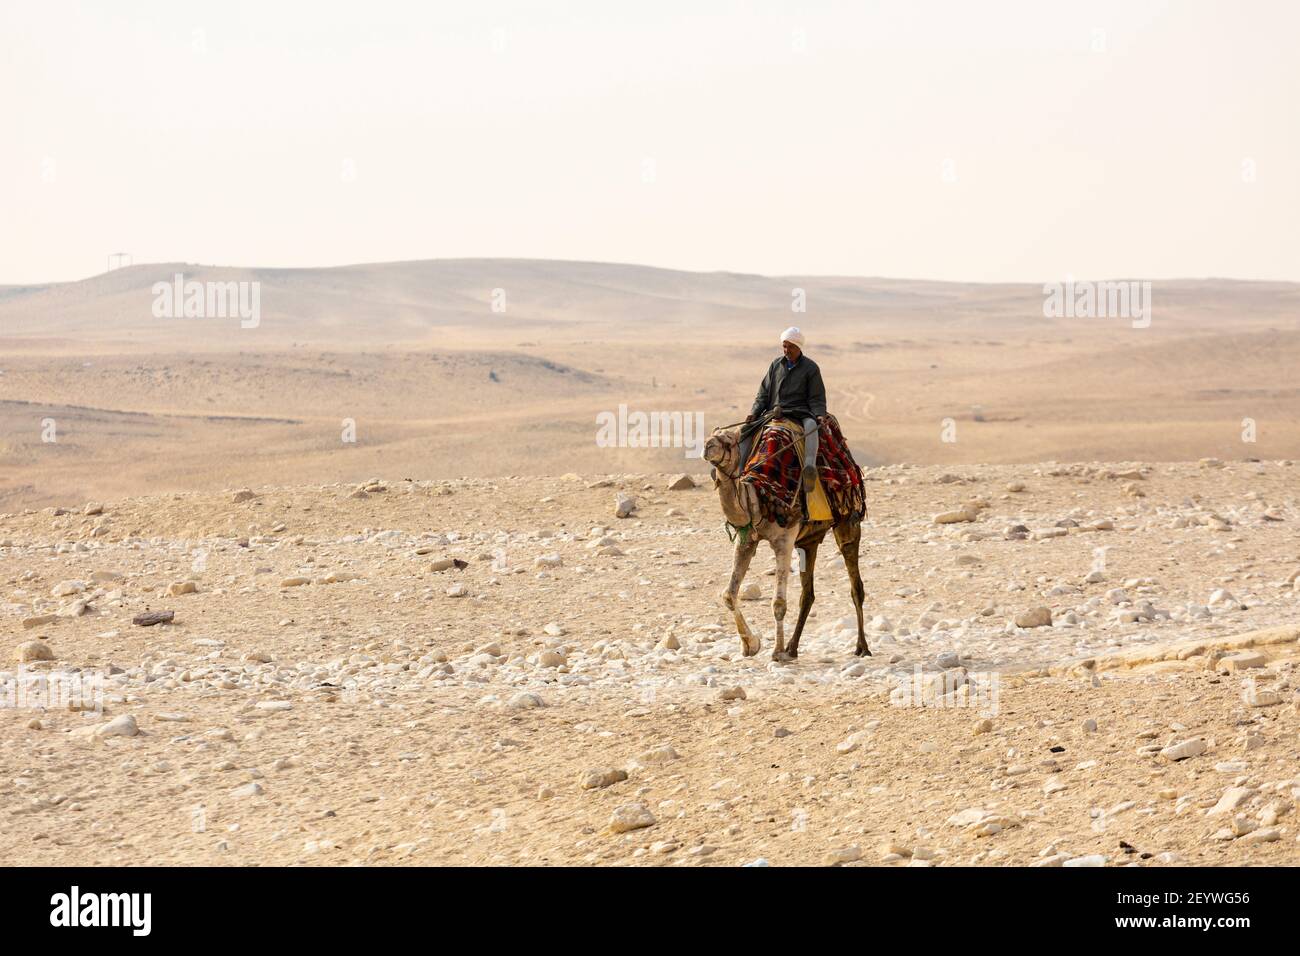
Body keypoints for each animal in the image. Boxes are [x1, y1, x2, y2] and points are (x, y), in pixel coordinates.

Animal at [702, 429, 863, 665]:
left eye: (729, 440)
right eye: (710, 436)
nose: (708, 446)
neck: (760, 497)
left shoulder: (784, 541)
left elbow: (778, 603)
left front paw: (776, 652)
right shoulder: (747, 540)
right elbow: (729, 595)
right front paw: (751, 645)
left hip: (847, 519)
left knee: (855, 584)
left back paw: (862, 648)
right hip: (809, 541)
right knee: (808, 594)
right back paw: (793, 648)